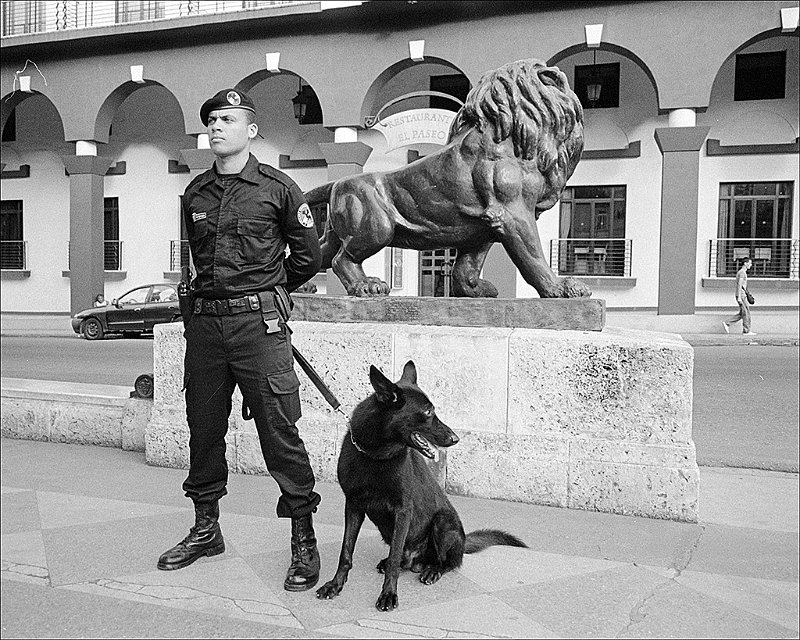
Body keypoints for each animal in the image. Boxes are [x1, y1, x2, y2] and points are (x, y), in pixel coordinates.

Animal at [316, 360, 528, 608]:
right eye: (428, 412)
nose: (455, 439)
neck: (376, 455)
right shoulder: (353, 506)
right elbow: (346, 552)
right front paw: (335, 585)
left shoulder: (403, 510)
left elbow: (394, 557)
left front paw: (388, 594)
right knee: (402, 558)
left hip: (443, 522)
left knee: (447, 563)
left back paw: (433, 570)